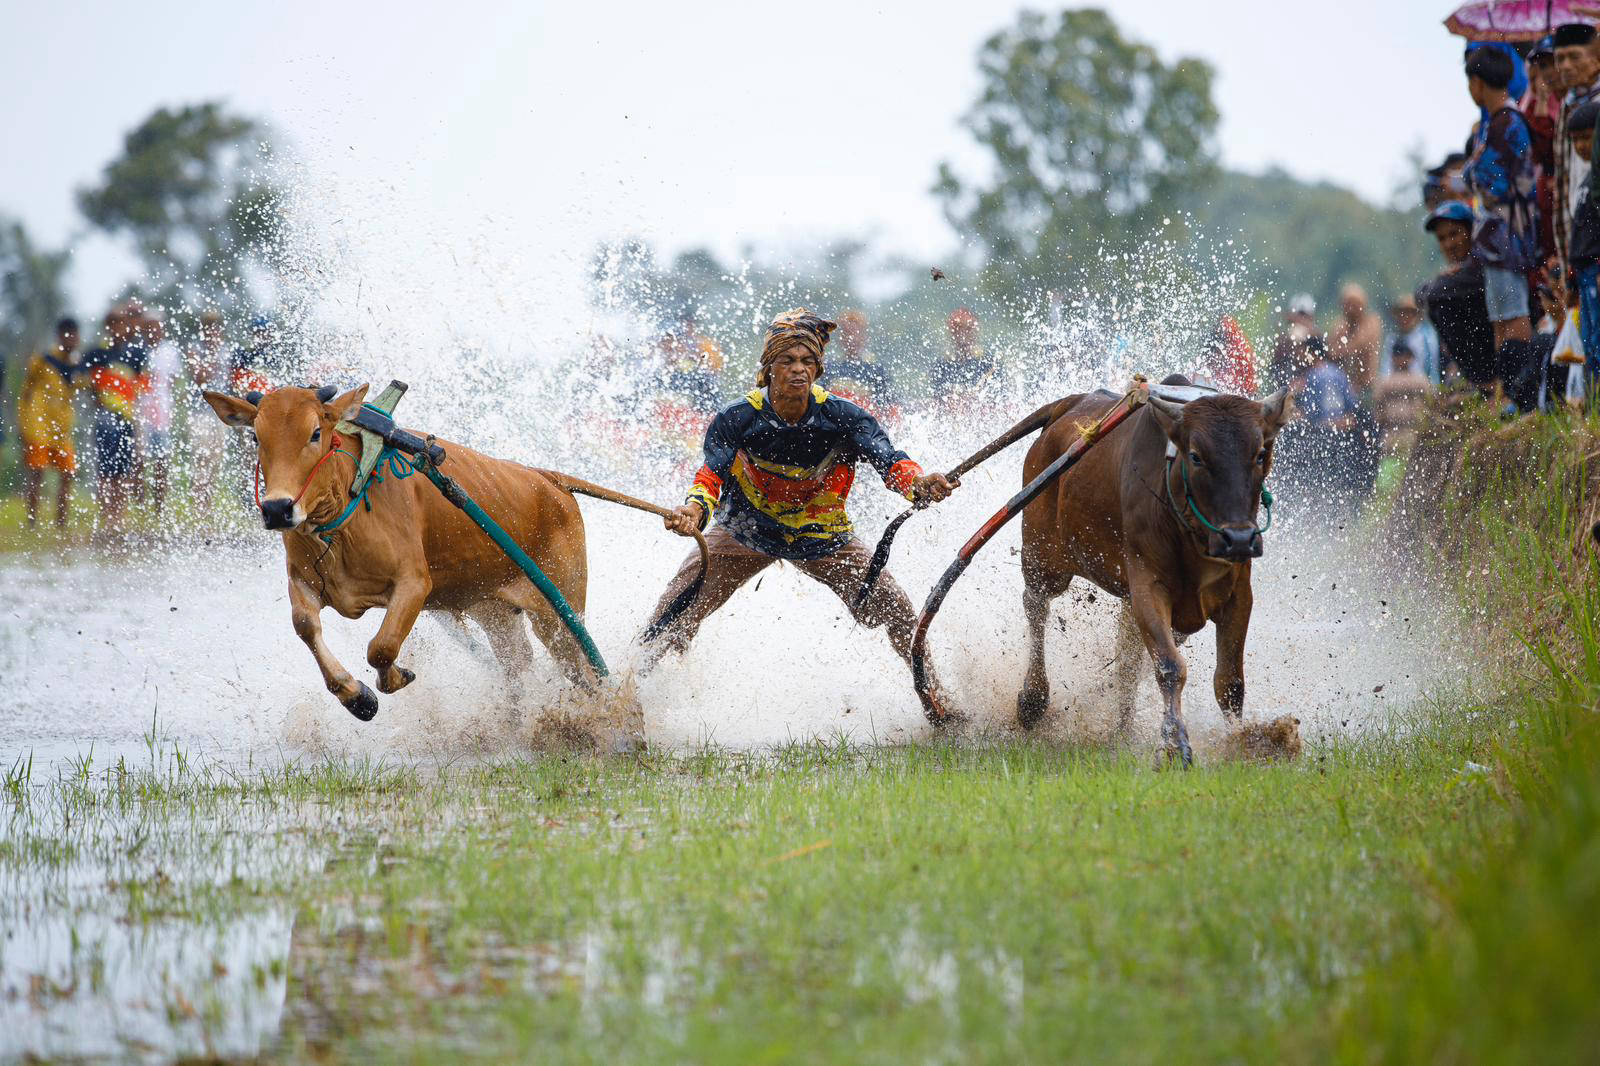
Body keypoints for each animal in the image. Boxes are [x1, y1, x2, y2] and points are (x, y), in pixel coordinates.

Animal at [201, 384, 700, 723]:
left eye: (316, 432)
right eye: (256, 437)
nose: (277, 508)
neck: (346, 509)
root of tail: (550, 480)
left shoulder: (414, 585)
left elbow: (382, 647)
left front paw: (393, 678)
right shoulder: (303, 581)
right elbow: (306, 627)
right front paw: (356, 696)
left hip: (558, 611)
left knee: (582, 665)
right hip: (495, 612)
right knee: (518, 666)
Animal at [1017, 377, 1292, 758]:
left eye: (1260, 454)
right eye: (1196, 455)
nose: (1238, 538)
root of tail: (1068, 406)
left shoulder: (1238, 594)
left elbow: (1230, 681)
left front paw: (1244, 741)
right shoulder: (1148, 586)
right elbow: (1169, 667)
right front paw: (1175, 744)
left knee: (1127, 661)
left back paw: (1121, 730)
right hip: (1044, 559)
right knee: (1036, 606)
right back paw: (1032, 698)